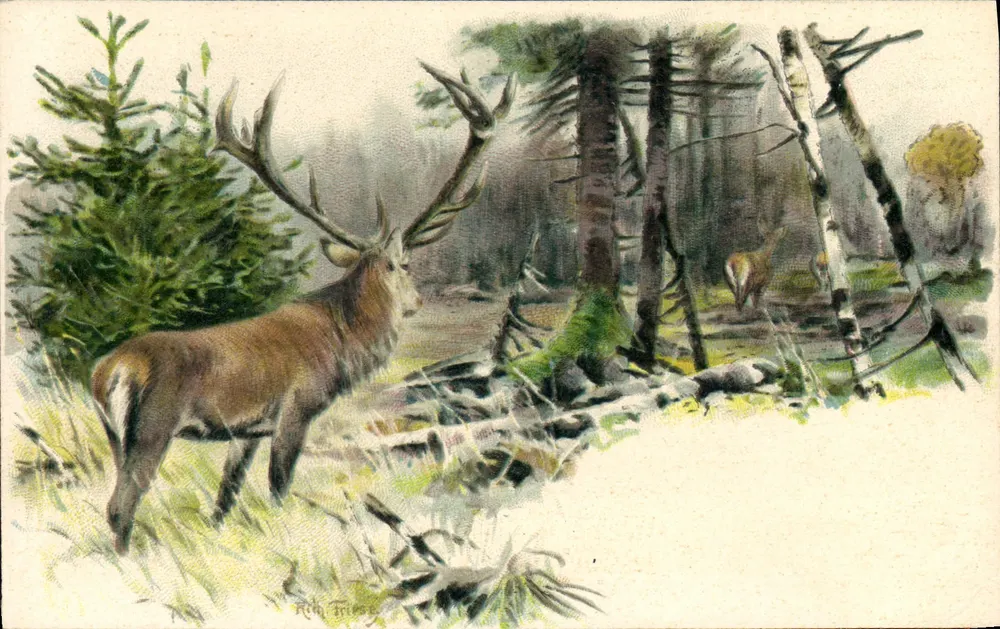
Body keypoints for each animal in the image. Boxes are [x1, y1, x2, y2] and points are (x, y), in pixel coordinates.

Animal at [90, 64, 515, 554]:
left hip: (114, 434)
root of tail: (109, 372)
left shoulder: (247, 431)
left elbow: (226, 496)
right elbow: (279, 486)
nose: (418, 301)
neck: (343, 341)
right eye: (404, 265)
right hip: (152, 427)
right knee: (120, 504)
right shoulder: (298, 407)